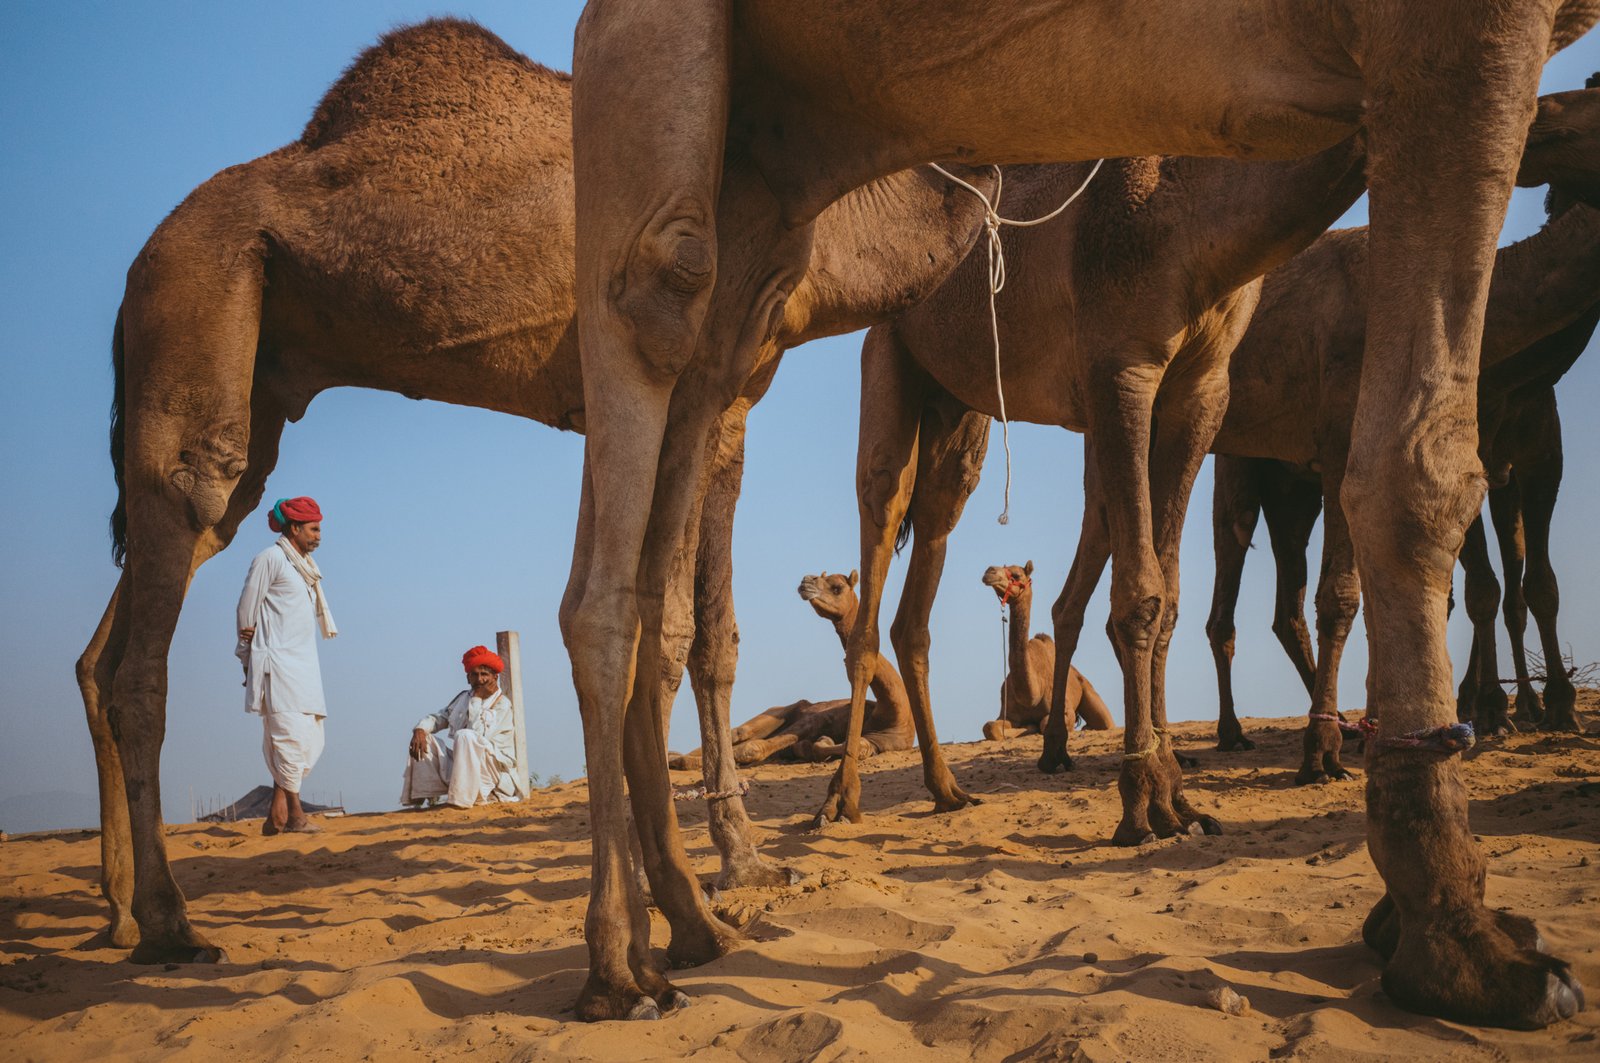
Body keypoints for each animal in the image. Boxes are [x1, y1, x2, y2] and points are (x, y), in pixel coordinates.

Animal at [669, 569, 915, 769]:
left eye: (837, 587)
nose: (807, 580)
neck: (894, 712)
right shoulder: (817, 717)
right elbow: (753, 747)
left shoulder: (875, 741)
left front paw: (815, 744)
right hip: (778, 711)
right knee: (738, 733)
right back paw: (677, 758)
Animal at [979, 562, 1112, 740]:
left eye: (1016, 575)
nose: (989, 572)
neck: (1033, 693)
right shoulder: (1007, 712)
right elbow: (990, 727)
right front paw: (1026, 727)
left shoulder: (1065, 710)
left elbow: (1044, 723)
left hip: (1089, 691)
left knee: (1106, 722)